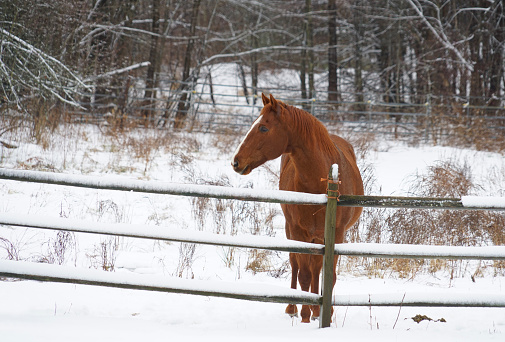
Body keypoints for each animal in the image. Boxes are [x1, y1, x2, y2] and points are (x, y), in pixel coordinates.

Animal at [232, 94, 362, 324]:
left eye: (263, 128)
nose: (236, 162)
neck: (319, 181)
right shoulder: (299, 232)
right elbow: (304, 274)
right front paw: (304, 316)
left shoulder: (335, 235)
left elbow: (328, 275)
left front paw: (324, 314)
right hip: (292, 230)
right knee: (296, 265)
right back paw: (293, 307)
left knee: (316, 268)